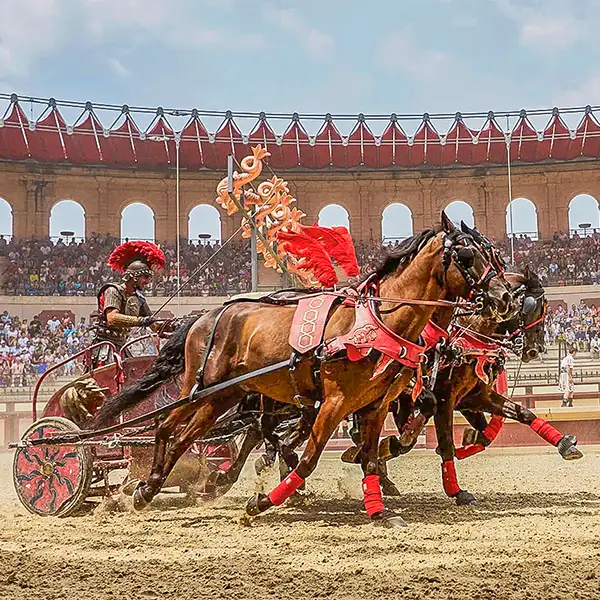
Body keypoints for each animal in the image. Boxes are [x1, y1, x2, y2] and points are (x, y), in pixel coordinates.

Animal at [102, 213, 510, 528]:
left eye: (495, 256)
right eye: (467, 255)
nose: (503, 297)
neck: (377, 322)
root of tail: (206, 316)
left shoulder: (375, 405)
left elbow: (370, 458)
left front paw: (379, 510)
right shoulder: (335, 402)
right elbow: (313, 457)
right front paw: (261, 503)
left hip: (224, 396)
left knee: (183, 435)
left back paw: (150, 488)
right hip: (204, 389)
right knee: (171, 427)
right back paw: (150, 488)